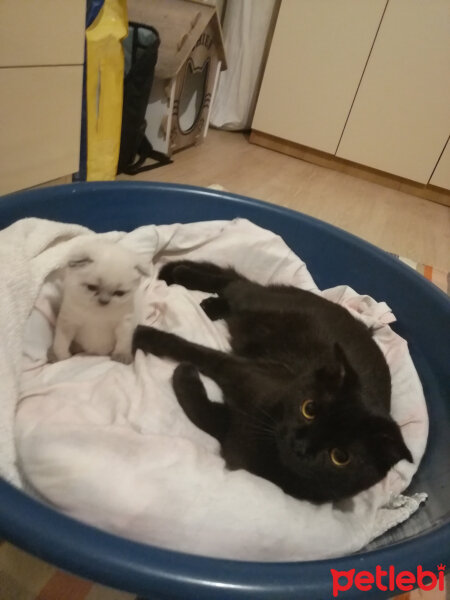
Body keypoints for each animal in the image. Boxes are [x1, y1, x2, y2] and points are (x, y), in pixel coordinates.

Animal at [133, 260, 412, 504]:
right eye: (309, 409)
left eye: (340, 457)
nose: (301, 447)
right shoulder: (239, 370)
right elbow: (197, 353)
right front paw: (144, 337)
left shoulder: (234, 435)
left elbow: (206, 415)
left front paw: (184, 374)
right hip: (256, 301)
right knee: (235, 282)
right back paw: (180, 274)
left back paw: (211, 304)